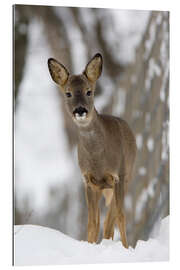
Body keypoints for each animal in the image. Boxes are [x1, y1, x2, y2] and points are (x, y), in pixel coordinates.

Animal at [47, 53, 136, 249]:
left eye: (89, 91)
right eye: (68, 93)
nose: (80, 110)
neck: (98, 160)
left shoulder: (118, 175)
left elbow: (121, 217)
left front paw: (126, 248)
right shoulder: (88, 181)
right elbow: (92, 222)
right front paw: (90, 245)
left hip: (127, 176)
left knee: (111, 220)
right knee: (105, 222)